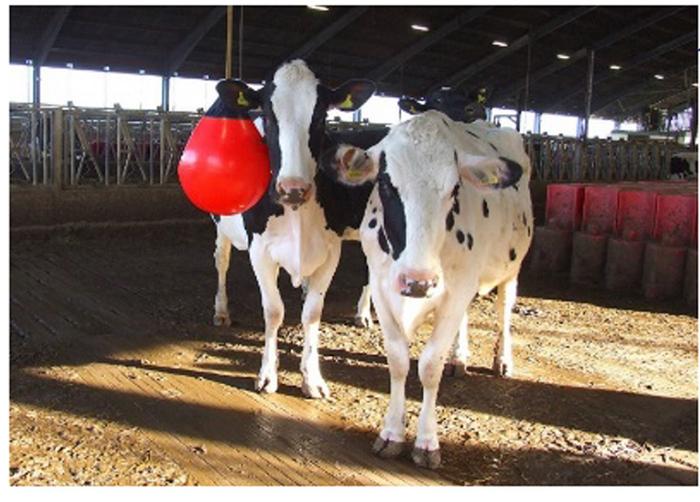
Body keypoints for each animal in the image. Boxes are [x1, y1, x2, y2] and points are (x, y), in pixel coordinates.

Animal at [211, 58, 380, 398]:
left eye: (321, 116)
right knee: (221, 262)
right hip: (221, 226)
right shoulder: (260, 251)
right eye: (267, 114)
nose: (293, 189)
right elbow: (273, 310)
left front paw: (312, 378)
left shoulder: (331, 251)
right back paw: (221, 311)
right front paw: (267, 375)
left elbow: (312, 313)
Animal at [328, 110, 532, 466]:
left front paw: (426, 441)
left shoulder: (457, 288)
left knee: (504, 309)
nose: (418, 281)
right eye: (386, 184)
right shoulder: (383, 286)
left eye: (454, 189)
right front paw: (392, 433)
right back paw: (459, 358)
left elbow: (429, 365)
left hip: (511, 266)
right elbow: (398, 360)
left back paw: (502, 359)